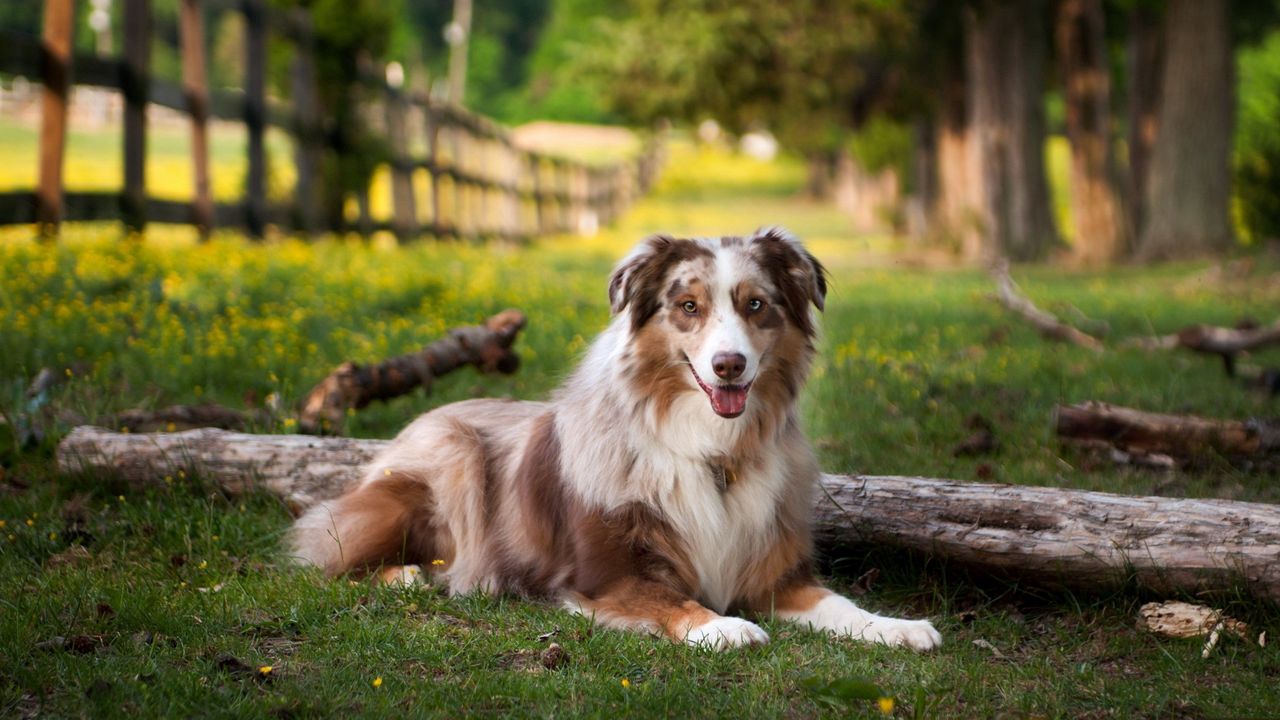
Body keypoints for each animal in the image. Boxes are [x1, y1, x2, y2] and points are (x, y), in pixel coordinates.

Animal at [294, 226, 947, 648]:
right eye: (689, 306)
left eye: (756, 305)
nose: (729, 366)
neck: (710, 450)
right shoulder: (605, 577)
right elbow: (672, 601)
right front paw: (724, 626)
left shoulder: (773, 575)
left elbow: (841, 604)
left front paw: (897, 627)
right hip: (450, 456)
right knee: (324, 554)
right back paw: (407, 575)